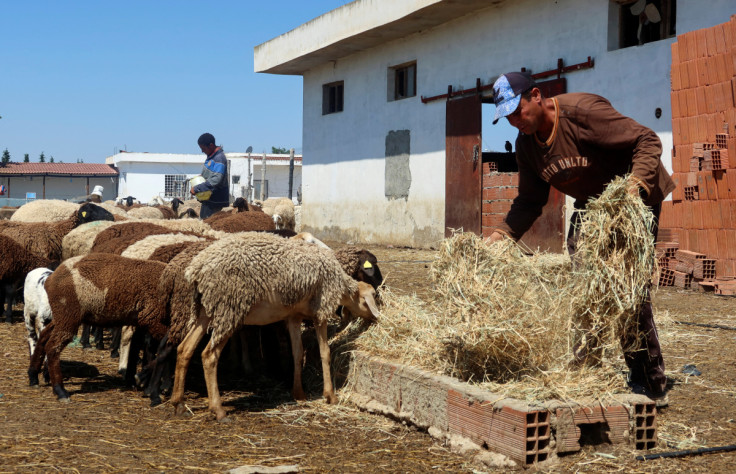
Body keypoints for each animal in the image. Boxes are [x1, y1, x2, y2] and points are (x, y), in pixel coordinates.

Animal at [27, 254, 170, 398]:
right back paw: (60, 390)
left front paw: (136, 380)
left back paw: (33, 376)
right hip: (68, 315)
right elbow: (167, 349)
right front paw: (148, 382)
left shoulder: (142, 321)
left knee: (43, 337)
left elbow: (139, 347)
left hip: (62, 316)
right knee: (53, 346)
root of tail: (51, 279)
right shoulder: (153, 319)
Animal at [167, 231, 380, 420]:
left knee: (185, 349)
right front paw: (331, 396)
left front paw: (299, 393)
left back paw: (179, 405)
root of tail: (197, 269)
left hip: (206, 310)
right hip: (229, 308)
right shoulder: (320, 311)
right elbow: (325, 353)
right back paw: (218, 411)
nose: (375, 318)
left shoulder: (294, 316)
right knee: (209, 356)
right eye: (369, 299)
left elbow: (297, 353)